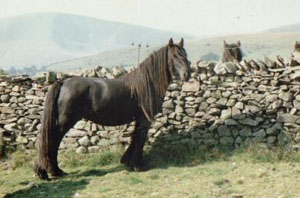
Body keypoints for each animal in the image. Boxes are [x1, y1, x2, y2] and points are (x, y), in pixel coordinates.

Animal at [34, 38, 190, 179]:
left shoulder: (138, 119)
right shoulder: (143, 119)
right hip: (65, 121)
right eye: (175, 56)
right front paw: (138, 165)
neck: (146, 84)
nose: (187, 75)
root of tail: (63, 83)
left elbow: (134, 138)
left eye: (185, 54)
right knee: (52, 141)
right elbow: (140, 139)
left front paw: (127, 161)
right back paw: (50, 171)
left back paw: (51, 171)